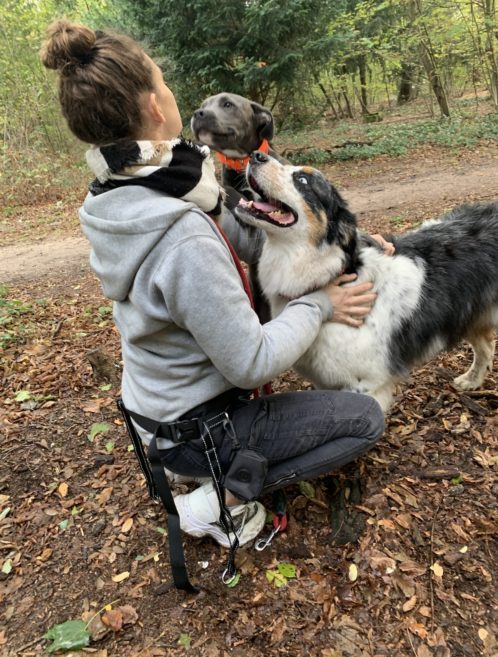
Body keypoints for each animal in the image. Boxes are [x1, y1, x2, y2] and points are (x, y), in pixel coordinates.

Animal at [234, 153, 498, 410]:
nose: (255, 155)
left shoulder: (365, 387)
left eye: (303, 180)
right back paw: (472, 380)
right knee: (486, 346)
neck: (335, 275)